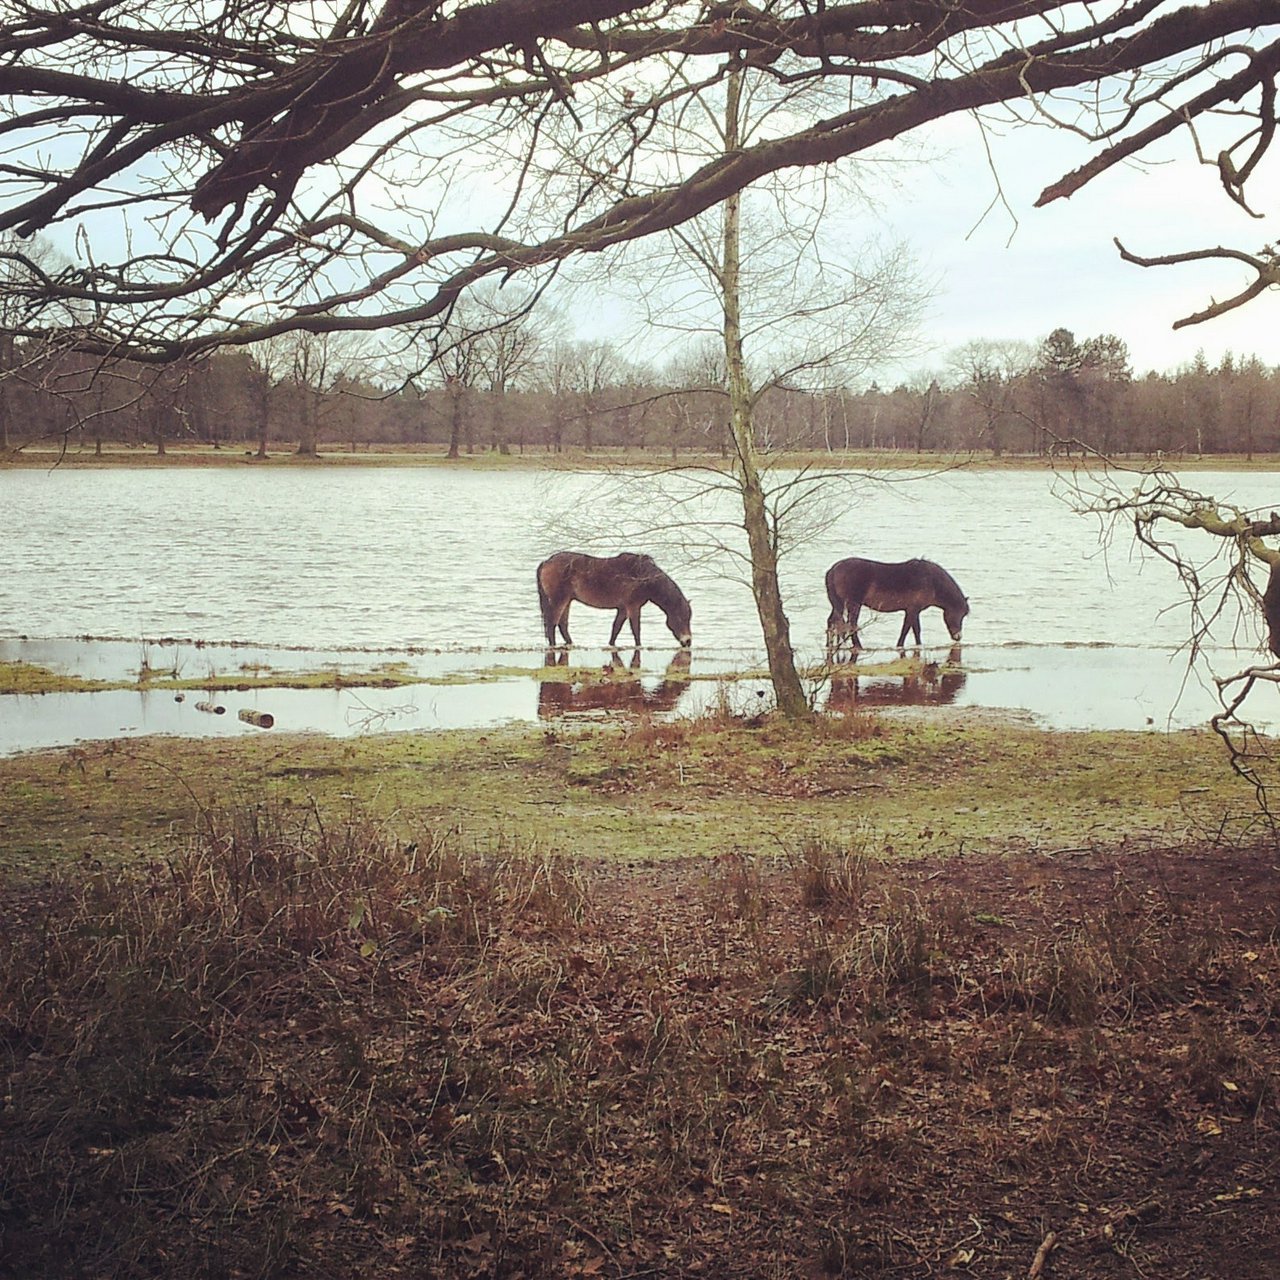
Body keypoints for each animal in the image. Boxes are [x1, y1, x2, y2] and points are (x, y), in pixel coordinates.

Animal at [536, 551, 693, 648]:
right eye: (681, 618)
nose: (688, 642)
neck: (643, 577)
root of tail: (546, 562)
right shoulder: (633, 607)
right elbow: (636, 629)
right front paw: (639, 646)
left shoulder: (623, 608)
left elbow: (616, 628)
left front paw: (611, 644)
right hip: (559, 600)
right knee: (552, 623)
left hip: (567, 600)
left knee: (562, 624)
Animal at [825, 557, 968, 651]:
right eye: (959, 614)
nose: (958, 637)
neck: (932, 581)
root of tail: (834, 569)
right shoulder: (912, 610)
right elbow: (907, 629)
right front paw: (900, 645)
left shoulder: (914, 611)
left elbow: (915, 630)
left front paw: (918, 645)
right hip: (854, 604)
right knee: (852, 624)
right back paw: (858, 646)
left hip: (838, 604)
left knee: (832, 621)